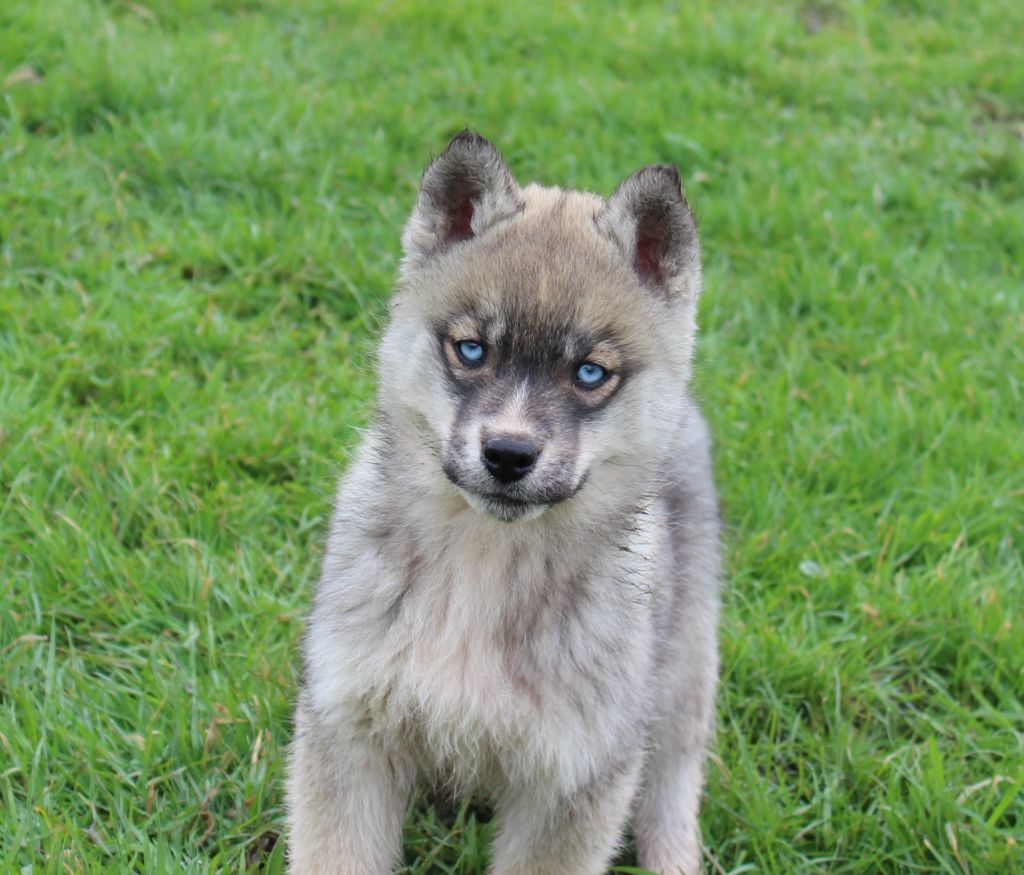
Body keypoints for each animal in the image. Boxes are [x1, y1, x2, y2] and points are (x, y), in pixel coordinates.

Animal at [286, 132, 721, 875]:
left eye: (590, 373)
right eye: (471, 349)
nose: (509, 455)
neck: (485, 562)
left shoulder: (575, 774)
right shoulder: (349, 734)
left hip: (681, 677)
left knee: (672, 786)